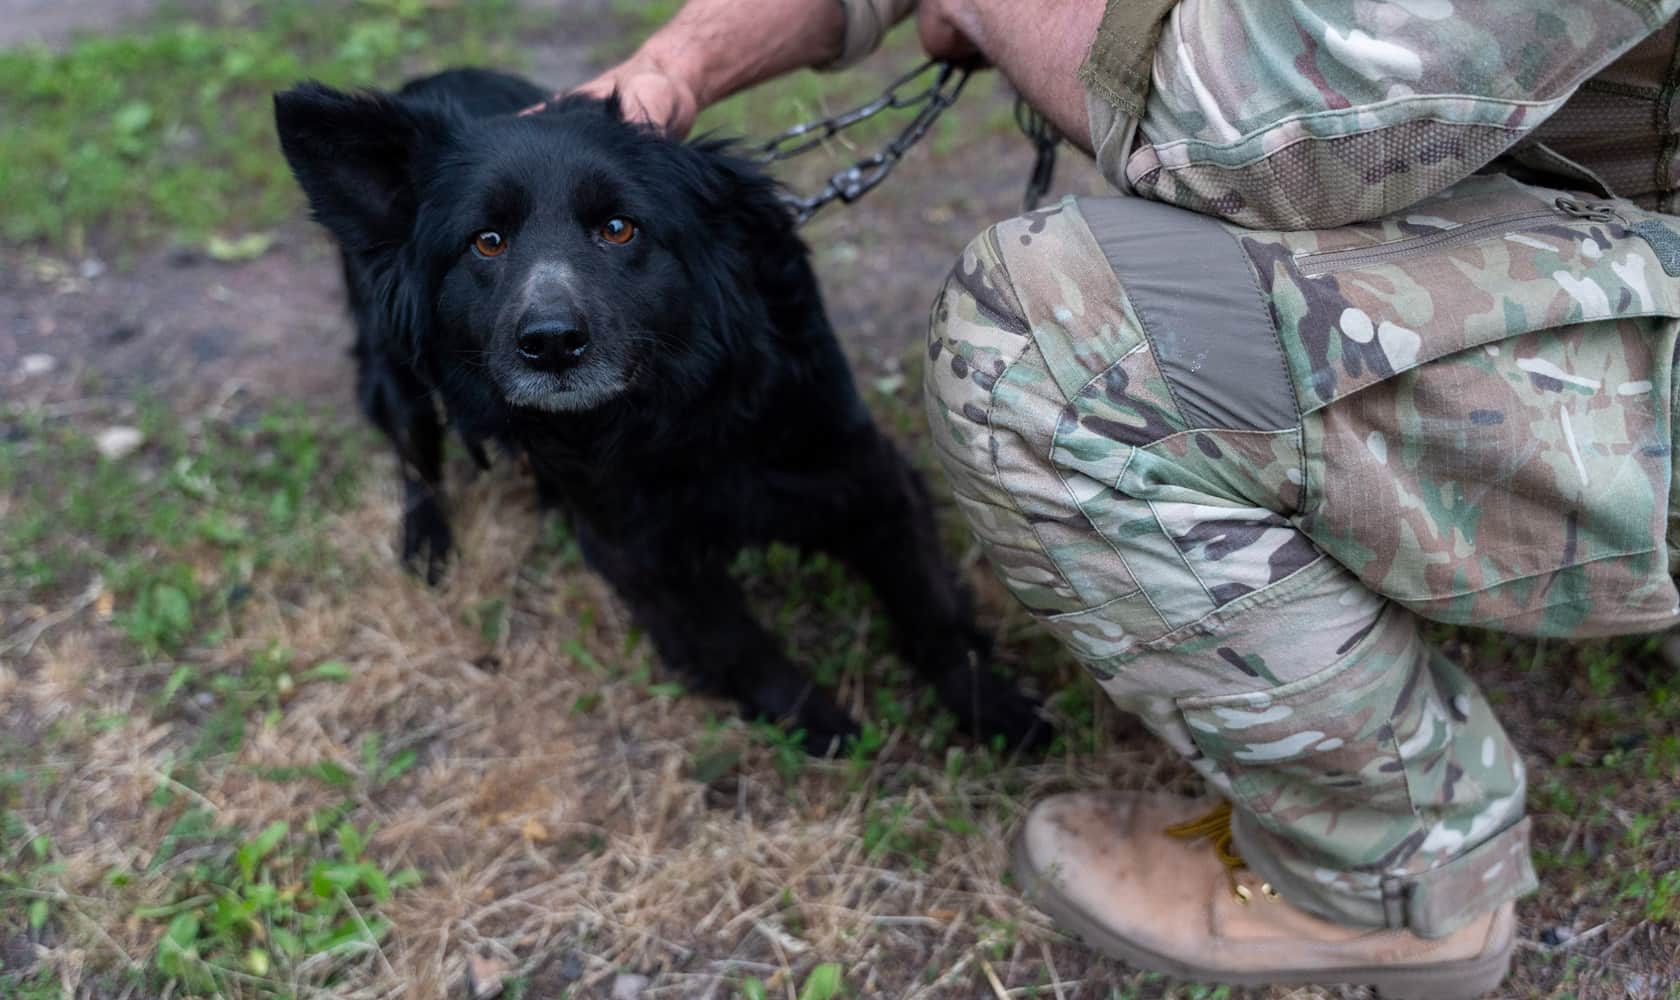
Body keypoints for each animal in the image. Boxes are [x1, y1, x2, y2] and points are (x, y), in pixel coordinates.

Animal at [273, 68, 1044, 753]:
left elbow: (931, 612)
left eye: (619, 229)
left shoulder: (865, 477)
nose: (550, 343)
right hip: (392, 368)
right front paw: (819, 728)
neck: (671, 422)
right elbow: (740, 648)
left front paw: (996, 709)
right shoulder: (642, 554)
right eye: (486, 241)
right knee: (415, 459)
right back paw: (427, 541)